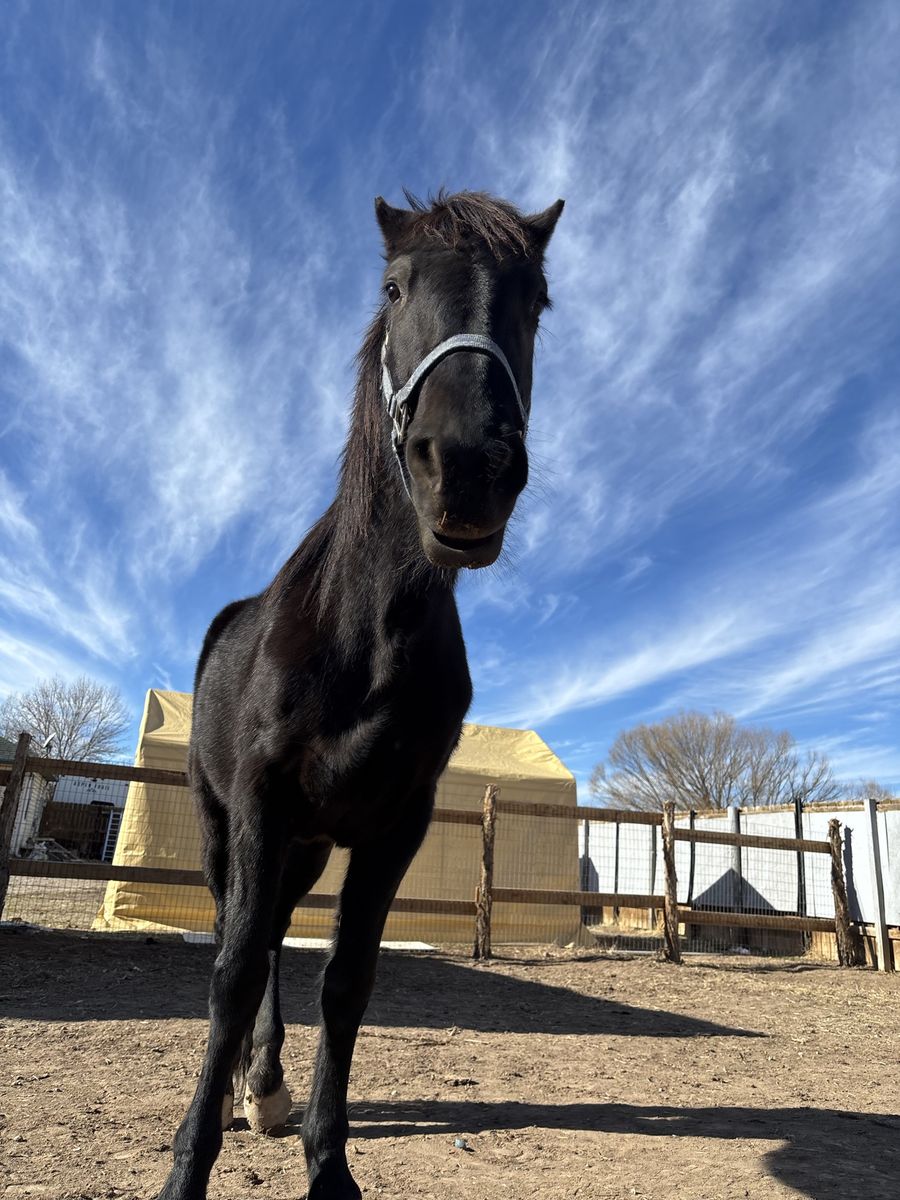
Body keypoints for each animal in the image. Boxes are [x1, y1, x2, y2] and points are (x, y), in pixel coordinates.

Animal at [156, 189, 563, 1200]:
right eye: (394, 286)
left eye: (536, 302)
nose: (466, 466)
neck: (367, 631)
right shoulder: (261, 804)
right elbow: (229, 972)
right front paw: (188, 1166)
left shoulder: (395, 826)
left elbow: (346, 980)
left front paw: (327, 1160)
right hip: (229, 829)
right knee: (238, 936)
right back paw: (238, 1089)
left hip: (305, 847)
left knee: (272, 939)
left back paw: (264, 1087)